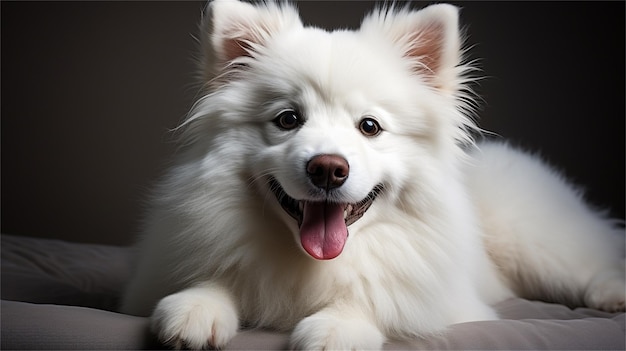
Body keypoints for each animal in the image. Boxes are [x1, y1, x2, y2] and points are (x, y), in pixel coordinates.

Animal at [119, 1, 620, 350]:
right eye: (288, 119)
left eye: (370, 126)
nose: (327, 168)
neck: (312, 263)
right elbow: (215, 276)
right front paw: (195, 307)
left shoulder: (442, 301)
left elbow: (378, 297)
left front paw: (336, 327)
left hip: (533, 240)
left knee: (594, 253)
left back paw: (610, 292)